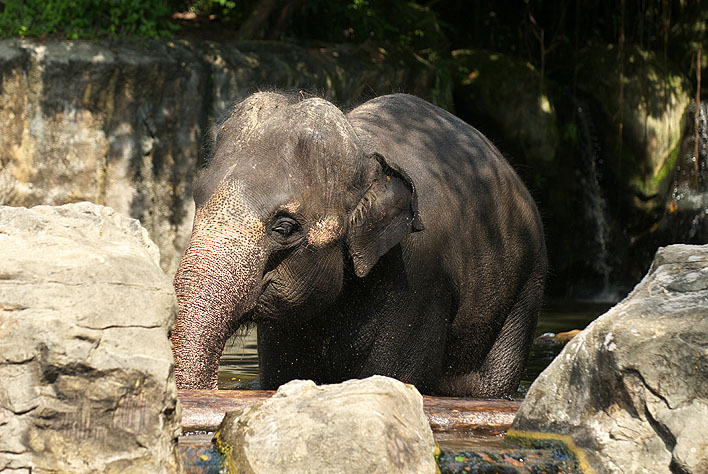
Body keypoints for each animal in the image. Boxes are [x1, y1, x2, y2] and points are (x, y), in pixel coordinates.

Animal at [171, 91, 548, 396]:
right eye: (197, 199)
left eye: (285, 227)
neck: (363, 148)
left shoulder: (419, 279)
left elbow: (393, 375)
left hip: (526, 288)